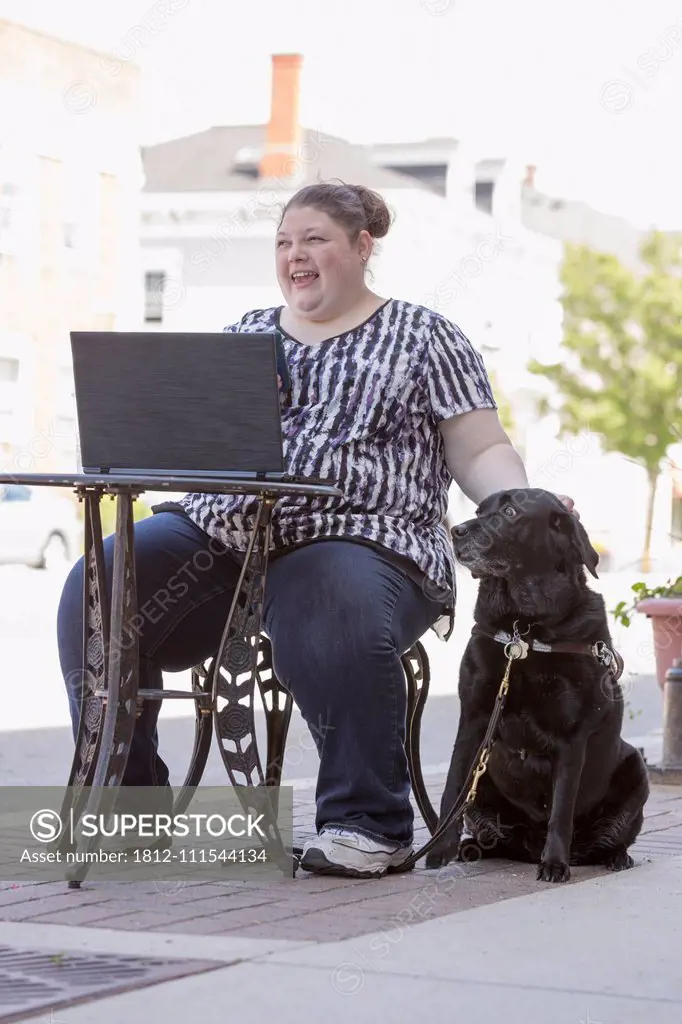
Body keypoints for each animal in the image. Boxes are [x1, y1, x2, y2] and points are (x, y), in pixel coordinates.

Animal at [425, 487, 647, 880]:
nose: (457, 531)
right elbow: (453, 788)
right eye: (480, 511)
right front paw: (439, 849)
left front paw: (555, 862)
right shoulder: (474, 719)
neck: (523, 628)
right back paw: (472, 847)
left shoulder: (572, 737)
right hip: (485, 786)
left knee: (610, 838)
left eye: (511, 512)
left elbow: (561, 807)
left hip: (636, 768)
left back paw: (614, 856)